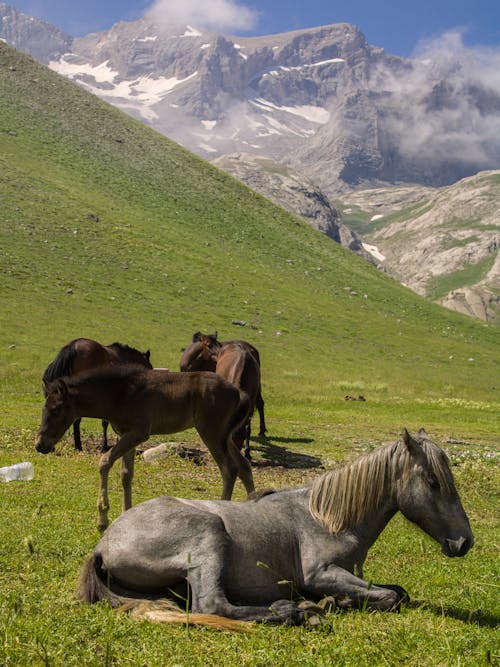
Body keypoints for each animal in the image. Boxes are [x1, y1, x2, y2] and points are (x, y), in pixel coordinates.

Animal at [35, 366, 254, 532]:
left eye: (56, 410)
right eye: (43, 407)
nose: (40, 445)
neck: (119, 395)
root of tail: (239, 393)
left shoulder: (139, 432)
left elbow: (104, 461)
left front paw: (102, 519)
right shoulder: (127, 434)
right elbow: (126, 474)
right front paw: (125, 513)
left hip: (211, 433)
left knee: (229, 470)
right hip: (225, 436)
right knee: (244, 467)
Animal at [78, 430, 472, 628]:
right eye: (434, 482)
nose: (464, 542)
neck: (327, 519)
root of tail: (102, 545)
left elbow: (397, 592)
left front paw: (339, 601)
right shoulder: (321, 573)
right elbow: (392, 598)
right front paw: (332, 602)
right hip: (209, 533)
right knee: (213, 604)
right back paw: (293, 612)